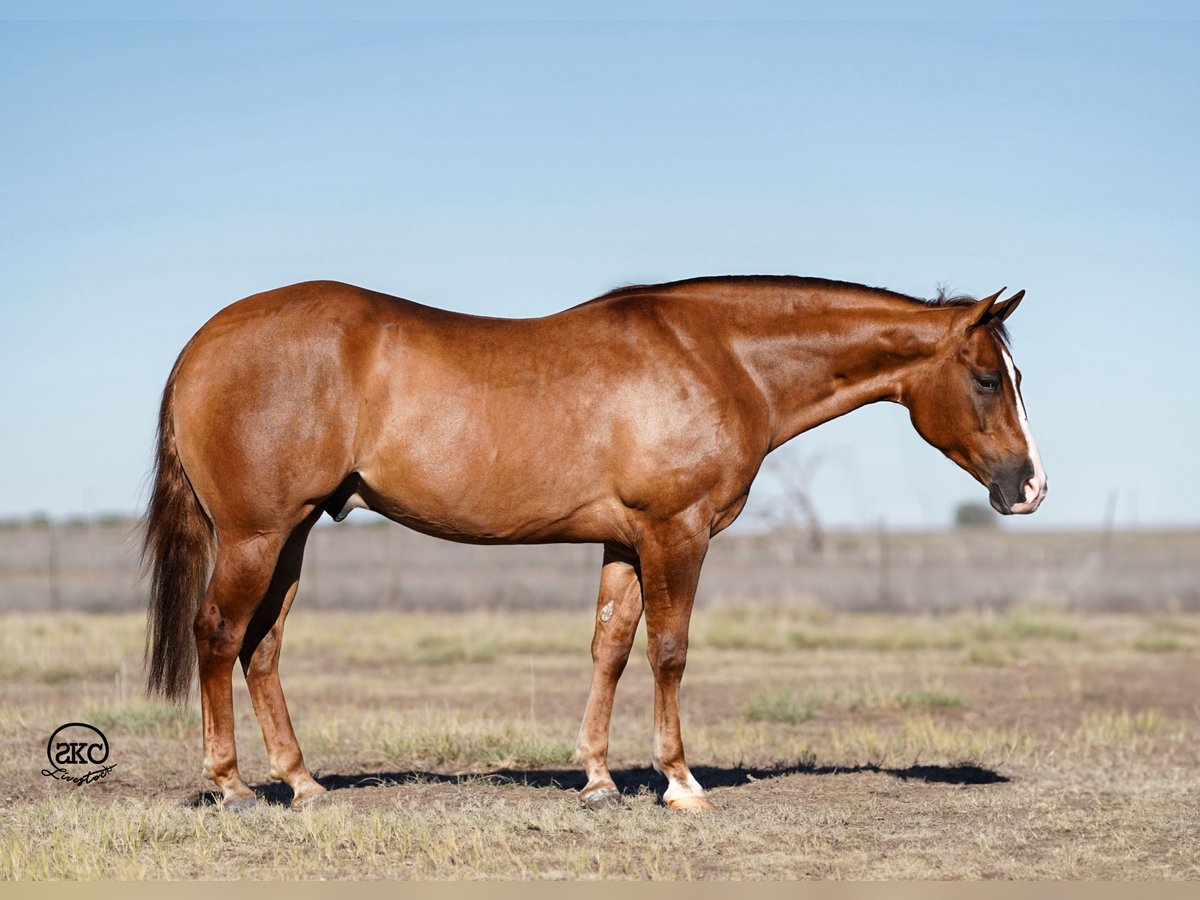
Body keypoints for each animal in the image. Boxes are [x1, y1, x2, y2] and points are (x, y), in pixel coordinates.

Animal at [140, 274, 1046, 811]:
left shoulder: (624, 543)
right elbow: (669, 651)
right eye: (986, 378)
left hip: (291, 536)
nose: (1030, 487)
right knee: (219, 635)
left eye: (1014, 376)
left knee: (262, 648)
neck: (719, 357)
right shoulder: (676, 533)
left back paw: (304, 783)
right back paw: (232, 788)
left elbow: (610, 648)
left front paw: (601, 779)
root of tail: (201, 344)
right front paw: (680, 783)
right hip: (256, 535)